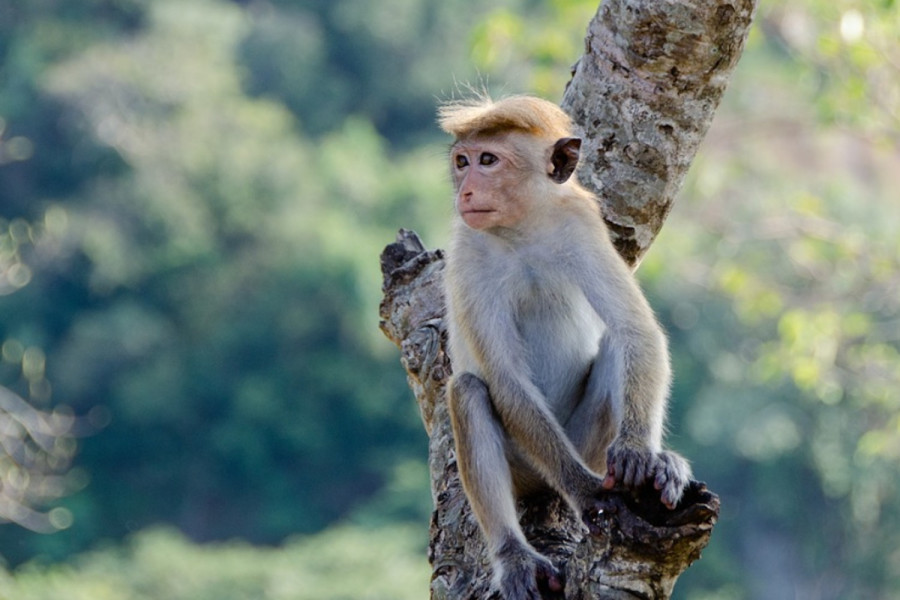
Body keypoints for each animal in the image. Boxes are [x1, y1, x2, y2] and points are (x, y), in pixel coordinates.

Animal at [440, 96, 692, 596]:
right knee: (469, 391)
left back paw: (659, 463)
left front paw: (640, 453)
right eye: (462, 162)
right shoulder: (468, 254)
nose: (467, 192)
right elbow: (506, 379)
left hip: (586, 441)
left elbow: (636, 330)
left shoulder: (581, 225)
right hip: (528, 464)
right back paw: (514, 555)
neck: (522, 231)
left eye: (487, 160)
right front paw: (585, 491)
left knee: (616, 345)